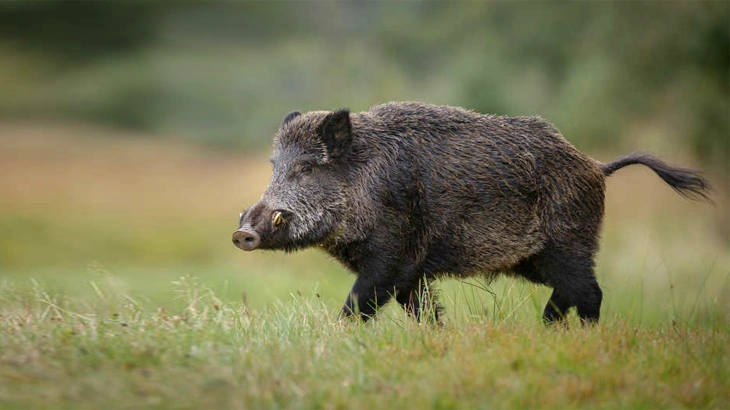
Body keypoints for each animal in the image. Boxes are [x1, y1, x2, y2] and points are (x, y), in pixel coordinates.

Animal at [232, 102, 711, 325]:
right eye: (274, 167)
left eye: (308, 168)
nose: (242, 233)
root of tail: (596, 166)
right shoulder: (412, 271)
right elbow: (423, 310)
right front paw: (438, 338)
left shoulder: (394, 255)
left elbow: (359, 303)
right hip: (536, 259)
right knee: (568, 294)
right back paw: (545, 330)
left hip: (569, 243)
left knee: (589, 293)